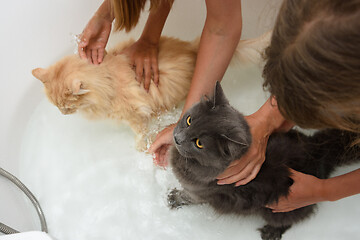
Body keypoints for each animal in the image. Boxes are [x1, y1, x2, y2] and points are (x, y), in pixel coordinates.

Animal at [33, 33, 270, 151]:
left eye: (67, 106)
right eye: (58, 107)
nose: (63, 113)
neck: (107, 79)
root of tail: (193, 48)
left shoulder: (135, 114)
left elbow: (140, 132)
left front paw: (140, 147)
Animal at [167, 81, 358, 239]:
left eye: (199, 143)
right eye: (189, 120)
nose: (177, 138)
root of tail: (319, 151)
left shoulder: (200, 192)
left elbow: (187, 196)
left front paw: (174, 198)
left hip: (280, 207)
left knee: (288, 220)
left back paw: (271, 232)